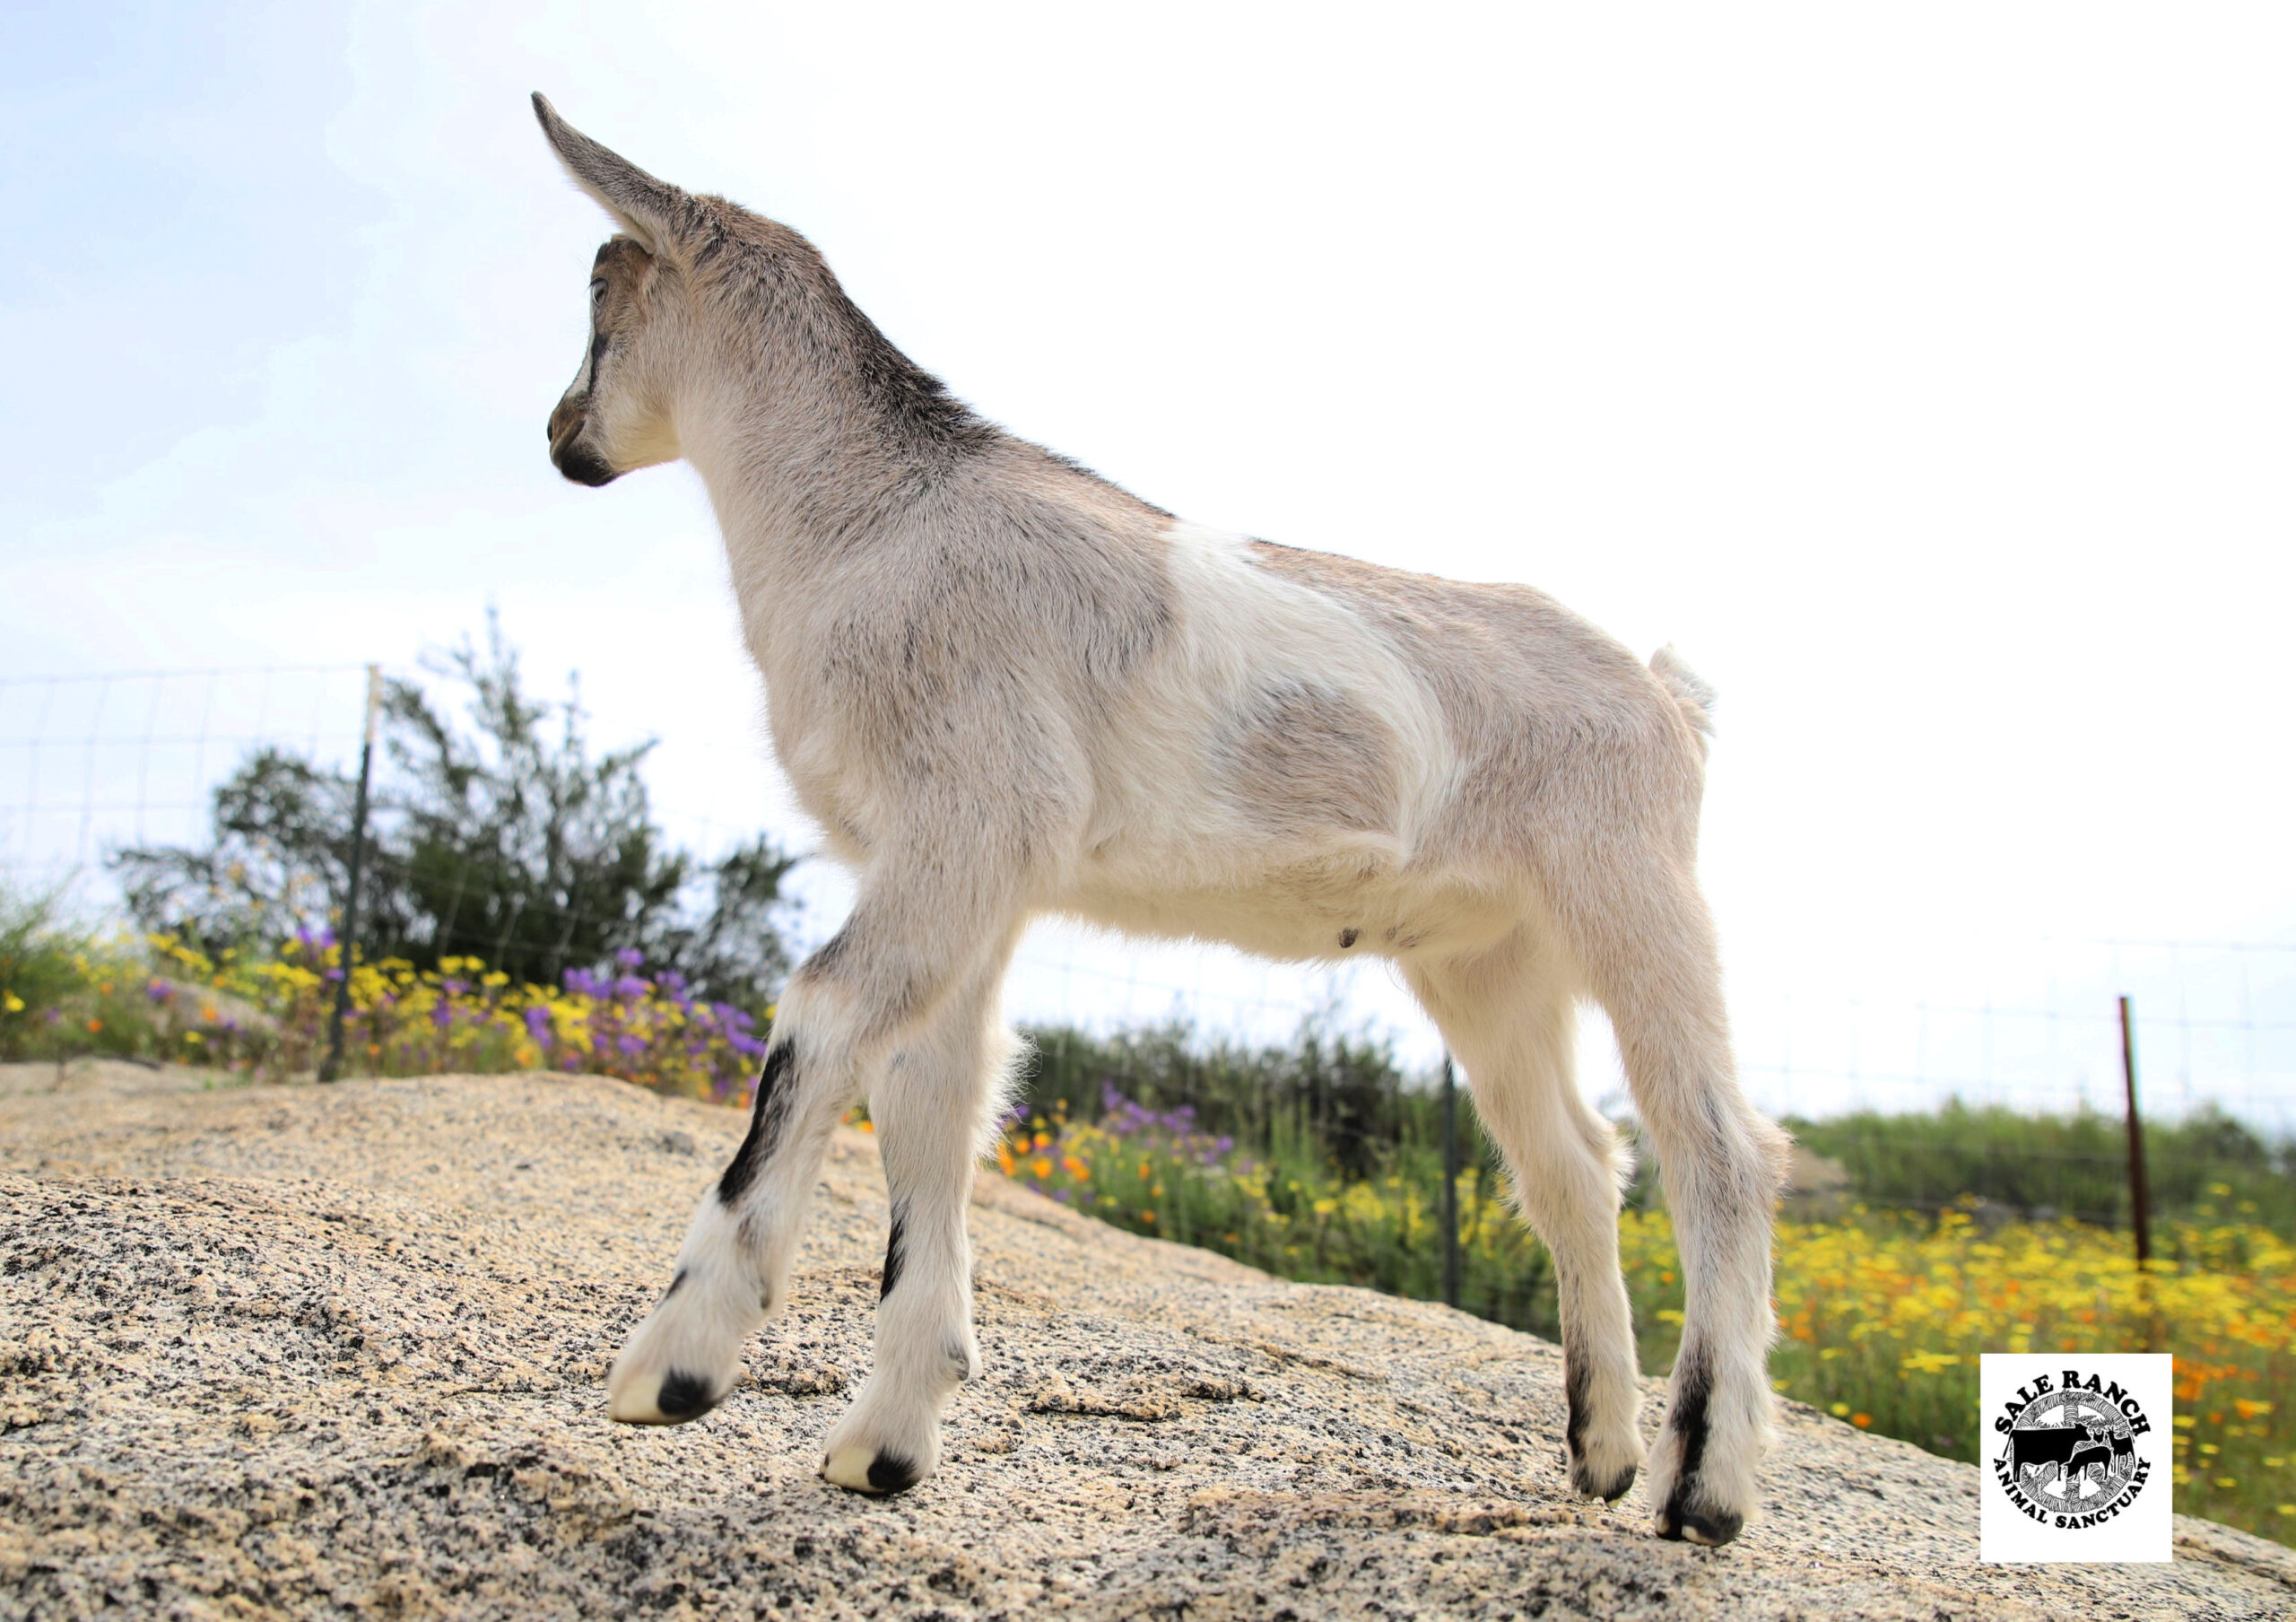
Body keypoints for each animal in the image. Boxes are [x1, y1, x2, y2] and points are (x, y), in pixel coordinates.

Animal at [532, 93, 1788, 1545]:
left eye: (601, 296)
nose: (561, 435)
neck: (870, 524)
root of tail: (1666, 693)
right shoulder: (969, 870)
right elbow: (934, 1096)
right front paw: (883, 1445)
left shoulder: (969, 815)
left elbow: (826, 1017)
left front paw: (673, 1368)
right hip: (1490, 951)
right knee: (1575, 1161)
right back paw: (1600, 1452)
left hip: (1631, 881)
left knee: (1721, 1150)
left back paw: (1703, 1488)